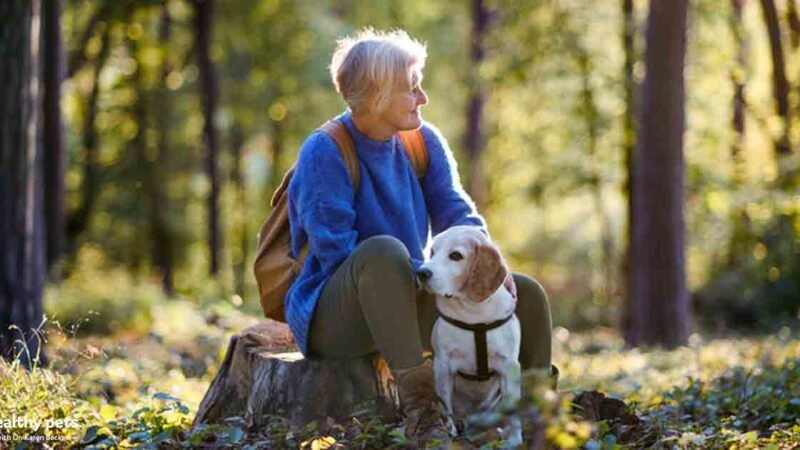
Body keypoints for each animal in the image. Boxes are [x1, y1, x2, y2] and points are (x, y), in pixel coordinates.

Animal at [416, 227, 520, 444]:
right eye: (432, 252)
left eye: (456, 256)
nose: (421, 272)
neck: (474, 315)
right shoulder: (443, 366)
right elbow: (445, 405)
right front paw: (449, 431)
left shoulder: (510, 367)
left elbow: (514, 414)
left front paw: (516, 440)